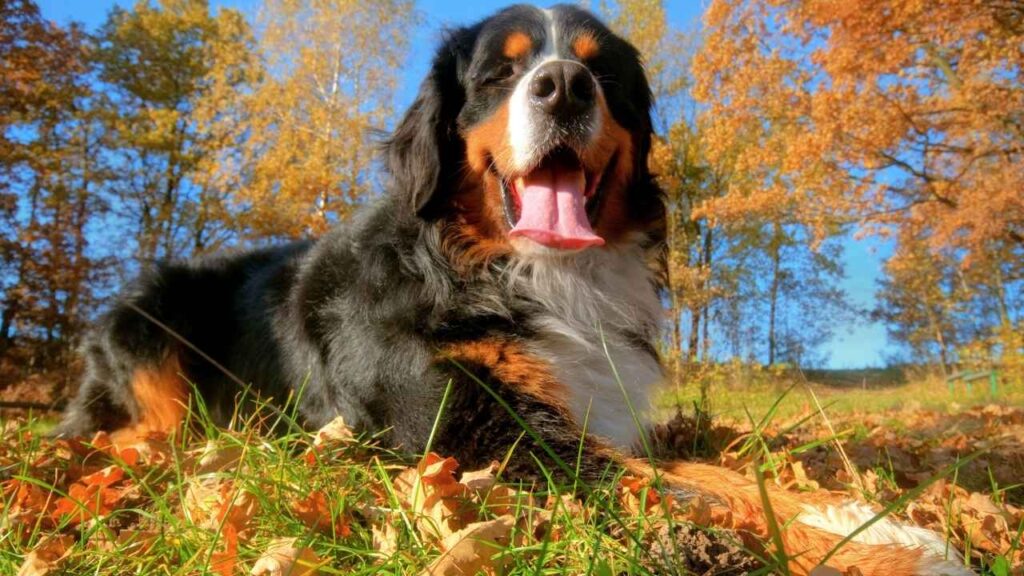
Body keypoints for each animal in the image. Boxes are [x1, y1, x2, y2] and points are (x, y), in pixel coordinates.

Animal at [58, 5, 974, 573]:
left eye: (603, 74)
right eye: (500, 76)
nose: (563, 85)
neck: (532, 273)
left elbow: (717, 473)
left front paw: (871, 520)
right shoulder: (478, 435)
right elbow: (681, 486)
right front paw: (894, 550)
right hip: (149, 331)